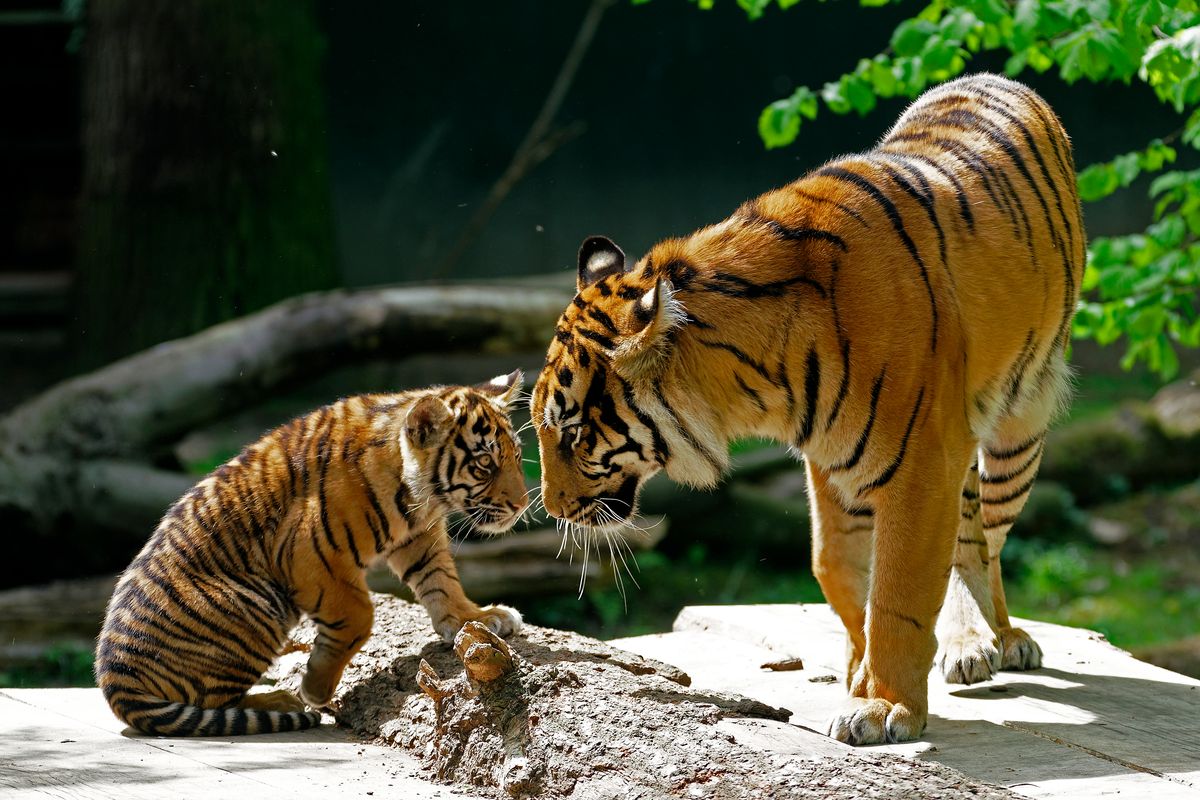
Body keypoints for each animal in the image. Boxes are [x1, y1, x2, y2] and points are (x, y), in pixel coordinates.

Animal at [530, 73, 1084, 743]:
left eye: (573, 432)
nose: (552, 507)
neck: (754, 385)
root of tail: (994, 78)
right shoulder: (834, 459)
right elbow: (836, 568)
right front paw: (857, 672)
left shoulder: (922, 464)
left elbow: (899, 592)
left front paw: (885, 706)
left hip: (1018, 431)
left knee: (991, 542)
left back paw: (997, 638)